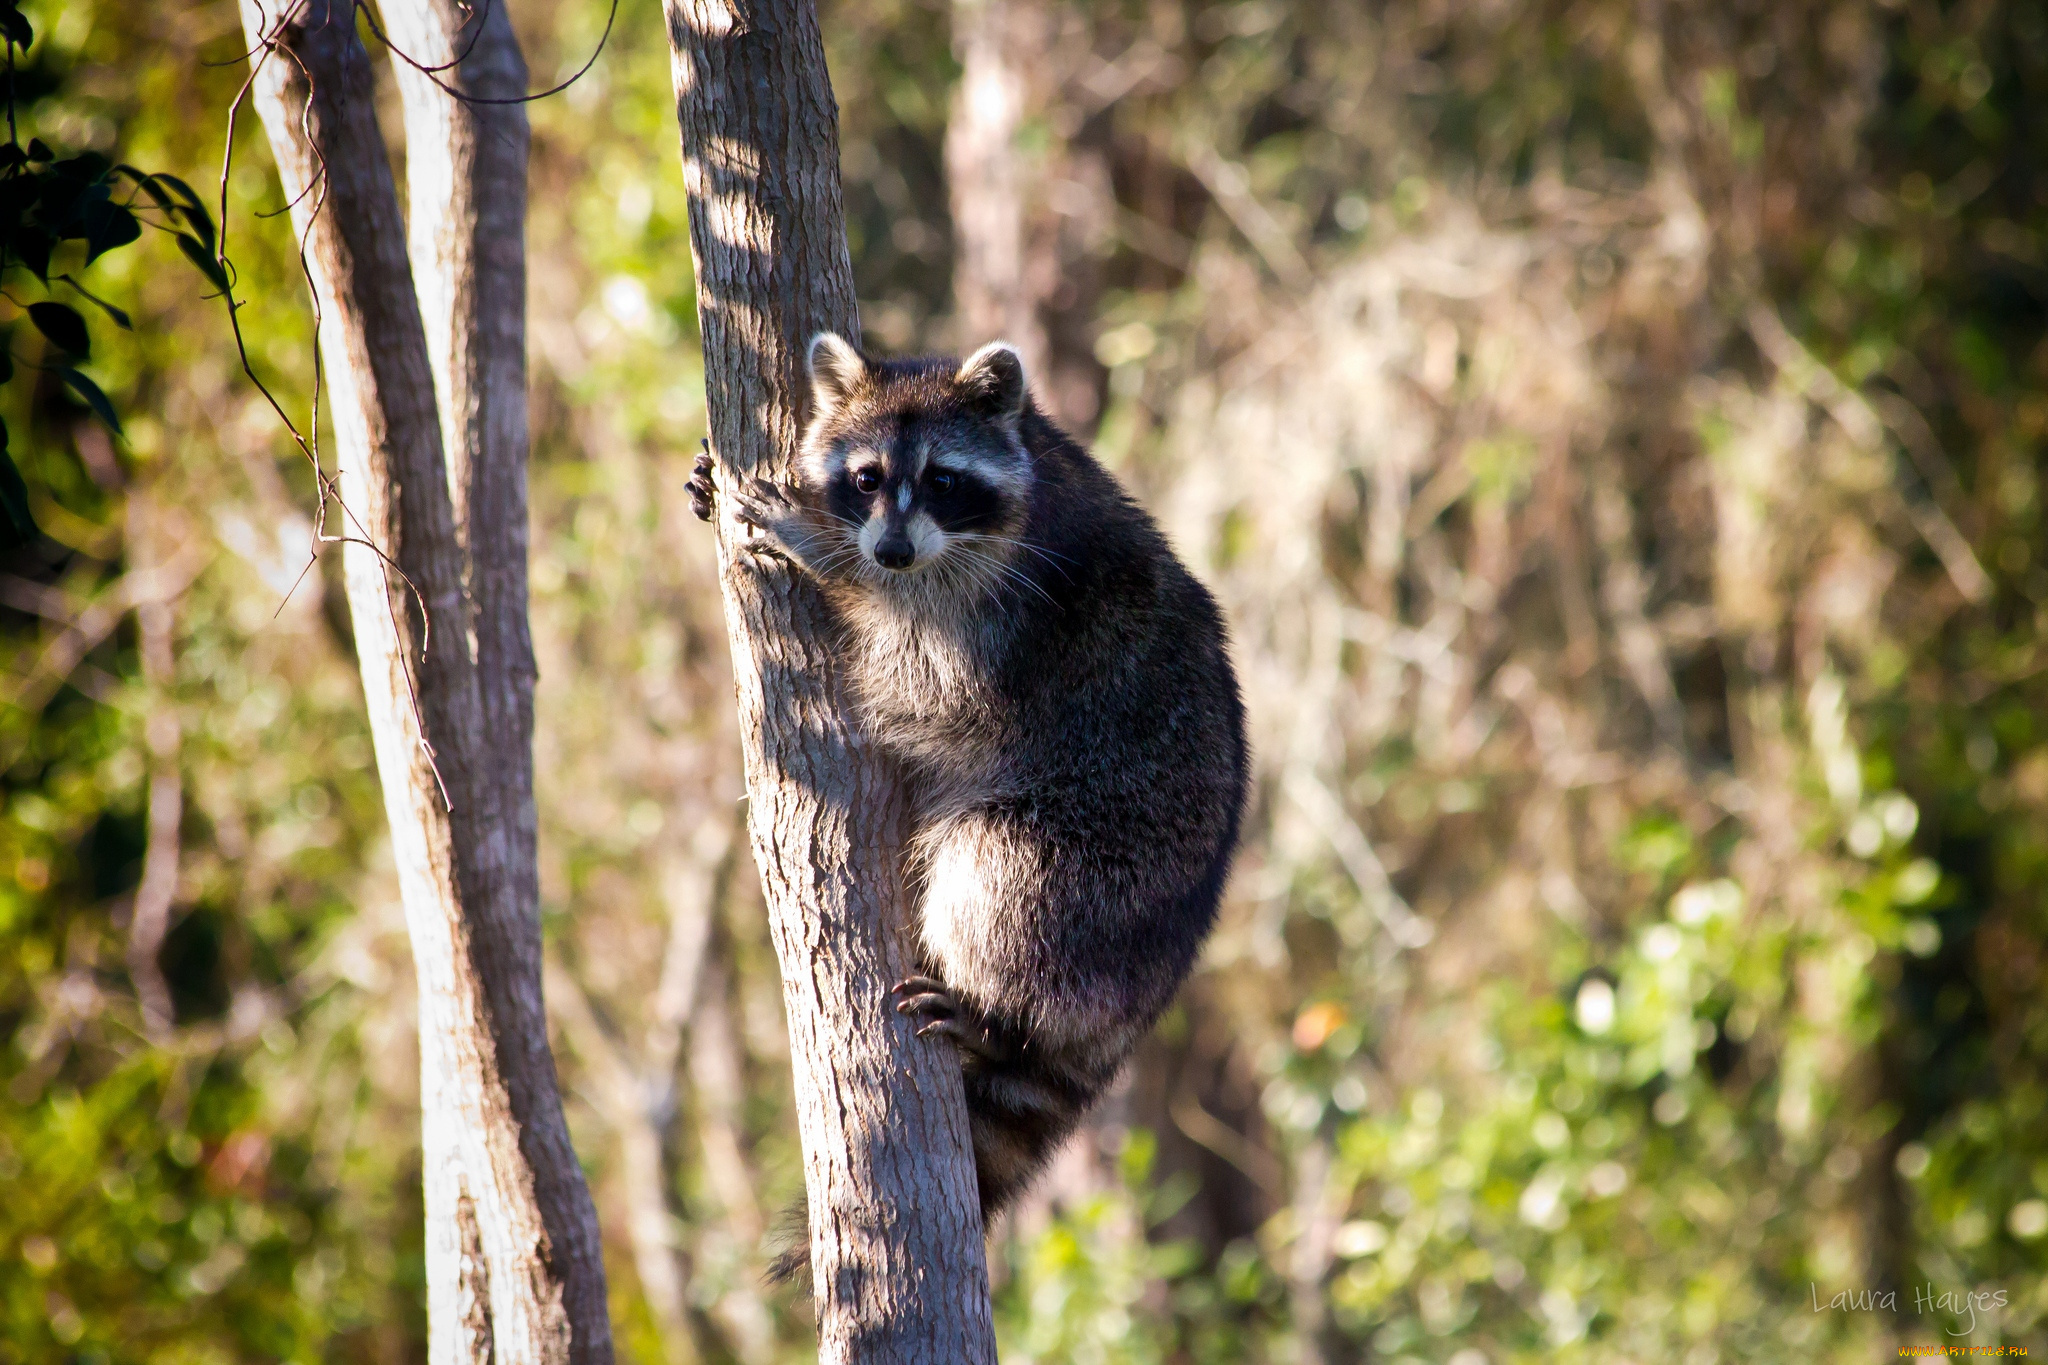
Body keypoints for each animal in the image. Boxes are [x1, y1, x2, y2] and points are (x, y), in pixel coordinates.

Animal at [688, 333, 1236, 1285]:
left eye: (943, 479)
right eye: (866, 477)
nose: (891, 552)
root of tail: (1159, 972)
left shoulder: (1007, 613)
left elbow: (926, 684)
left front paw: (827, 559)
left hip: (1107, 865)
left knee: (996, 870)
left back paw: (997, 1017)